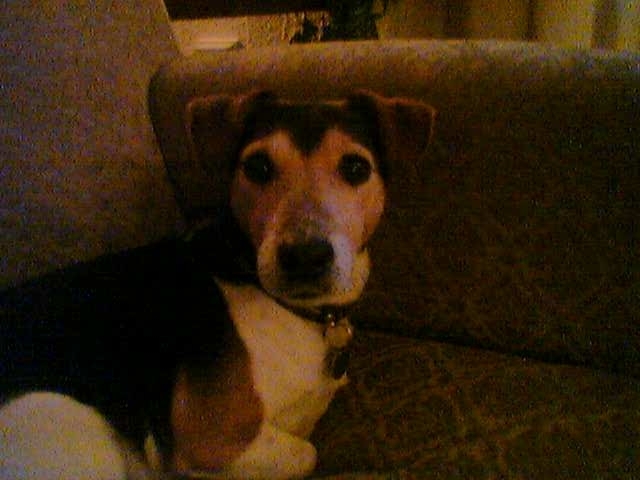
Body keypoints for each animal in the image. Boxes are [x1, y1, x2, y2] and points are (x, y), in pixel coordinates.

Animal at [0, 91, 434, 479]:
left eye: (356, 168)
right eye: (258, 167)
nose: (305, 256)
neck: (286, 307)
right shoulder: (208, 441)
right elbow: (305, 453)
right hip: (61, 414)